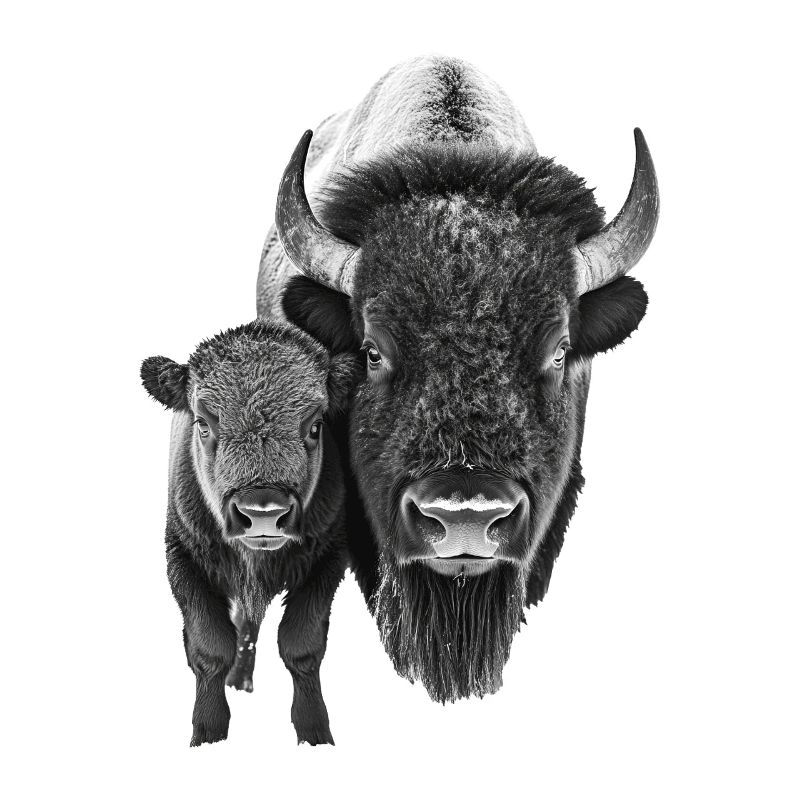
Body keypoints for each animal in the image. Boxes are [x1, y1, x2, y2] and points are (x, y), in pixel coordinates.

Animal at [141, 320, 359, 744]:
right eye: (203, 424)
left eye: (315, 425)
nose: (262, 512)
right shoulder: (184, 560)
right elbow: (209, 648)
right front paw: (208, 733)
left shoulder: (327, 560)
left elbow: (302, 645)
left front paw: (315, 733)